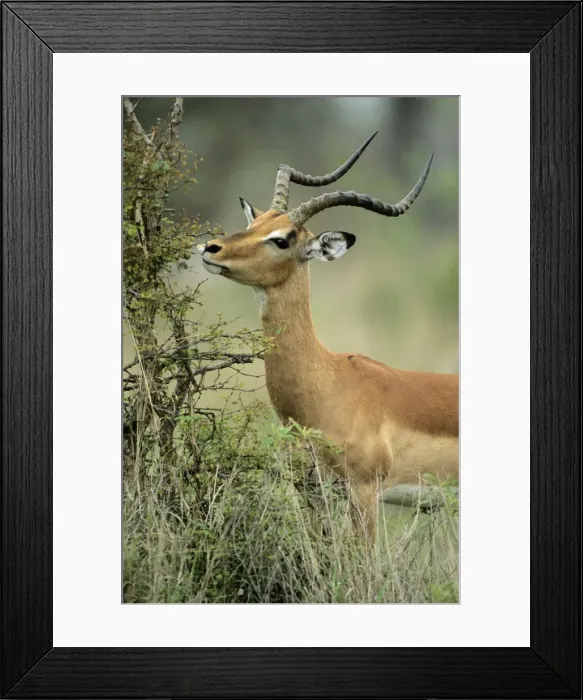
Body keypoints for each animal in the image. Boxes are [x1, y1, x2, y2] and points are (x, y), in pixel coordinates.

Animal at [197, 133, 458, 537]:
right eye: (256, 223)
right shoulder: (312, 491)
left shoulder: (364, 493)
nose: (211, 248)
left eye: (282, 239)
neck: (329, 382)